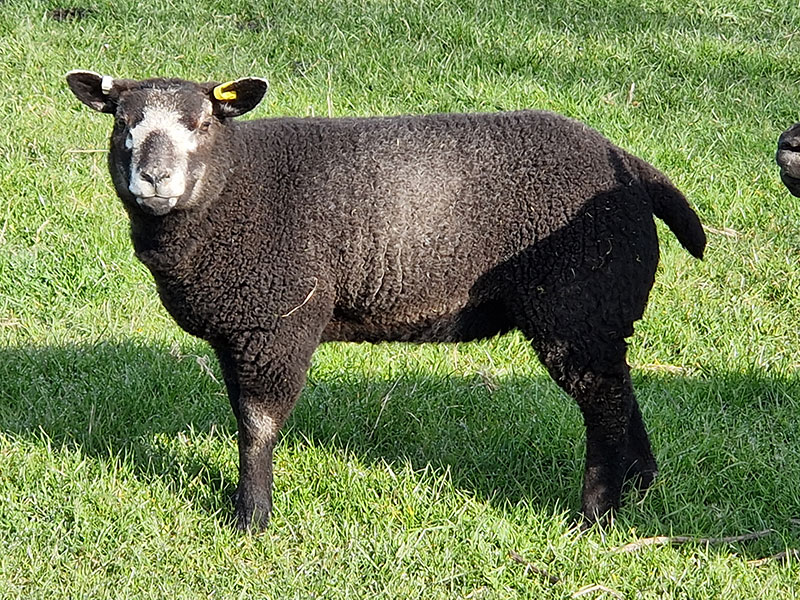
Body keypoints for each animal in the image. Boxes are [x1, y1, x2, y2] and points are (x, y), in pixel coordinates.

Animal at [66, 70, 706, 531]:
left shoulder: (278, 324)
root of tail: (626, 163)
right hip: (597, 316)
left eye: (200, 123)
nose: (153, 179)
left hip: (576, 306)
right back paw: (640, 483)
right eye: (122, 124)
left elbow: (257, 425)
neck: (234, 188)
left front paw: (252, 517)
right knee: (617, 390)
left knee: (602, 404)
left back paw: (596, 514)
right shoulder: (238, 329)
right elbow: (242, 416)